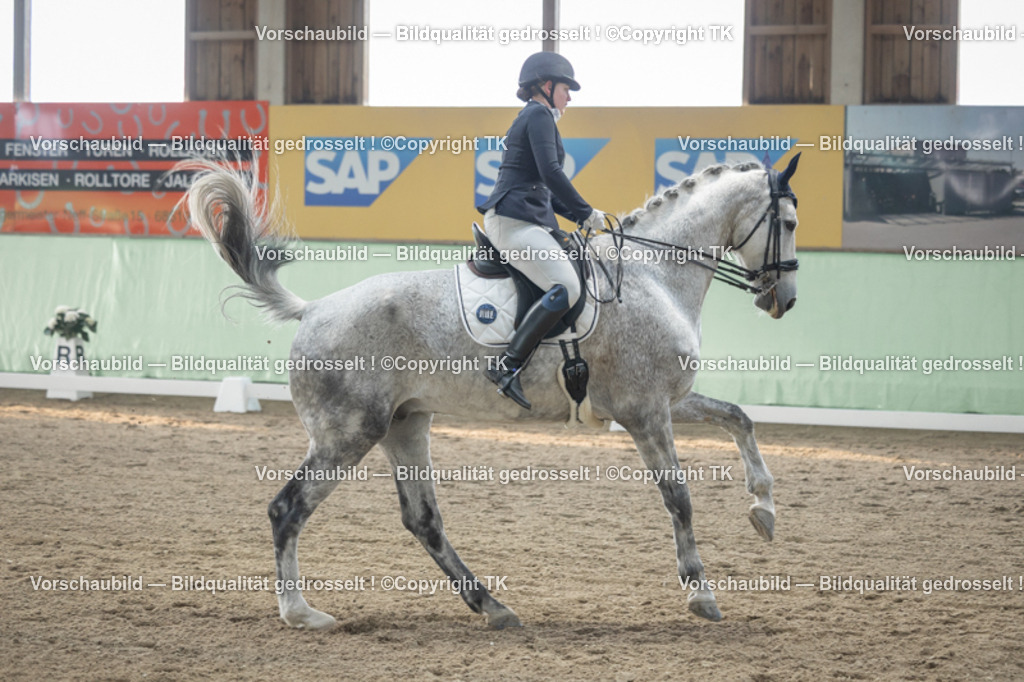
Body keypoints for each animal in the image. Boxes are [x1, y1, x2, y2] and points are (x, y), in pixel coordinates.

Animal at [184, 153, 801, 630]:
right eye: (791, 221)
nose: (785, 300)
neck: (654, 272)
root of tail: (312, 310)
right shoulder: (646, 410)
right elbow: (678, 496)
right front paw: (701, 593)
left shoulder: (665, 402)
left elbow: (739, 417)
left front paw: (764, 509)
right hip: (347, 434)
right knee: (286, 509)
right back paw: (300, 612)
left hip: (405, 424)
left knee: (423, 520)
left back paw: (492, 606)